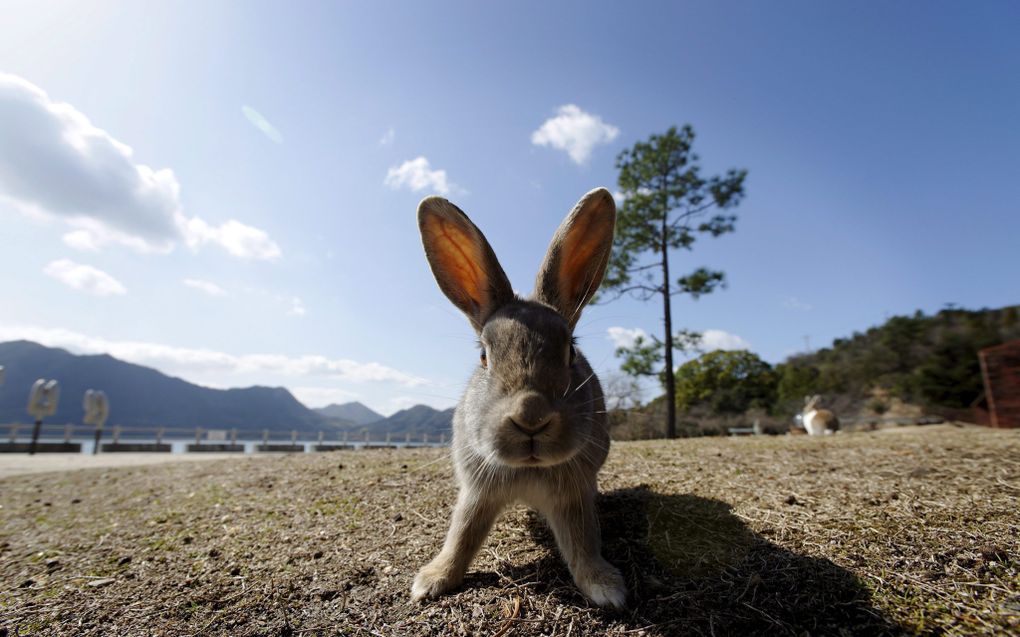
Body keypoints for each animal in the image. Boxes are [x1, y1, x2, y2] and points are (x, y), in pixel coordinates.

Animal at [410, 185, 624, 607]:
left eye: (570, 351)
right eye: (483, 355)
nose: (531, 415)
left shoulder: (572, 495)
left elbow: (583, 541)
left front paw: (605, 587)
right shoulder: (477, 492)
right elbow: (462, 535)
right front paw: (432, 580)